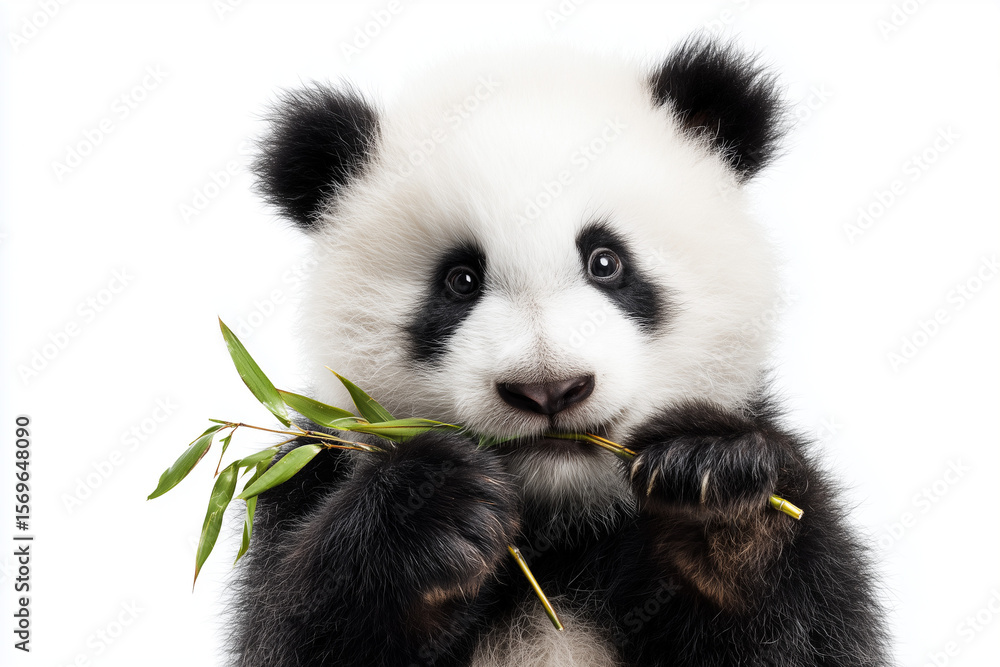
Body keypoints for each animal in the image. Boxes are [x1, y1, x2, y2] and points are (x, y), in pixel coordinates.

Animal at [229, 37, 891, 667]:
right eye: (460, 280)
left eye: (606, 261)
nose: (548, 388)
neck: (565, 529)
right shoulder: (301, 485)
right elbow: (297, 630)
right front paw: (428, 507)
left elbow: (812, 627)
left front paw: (717, 494)